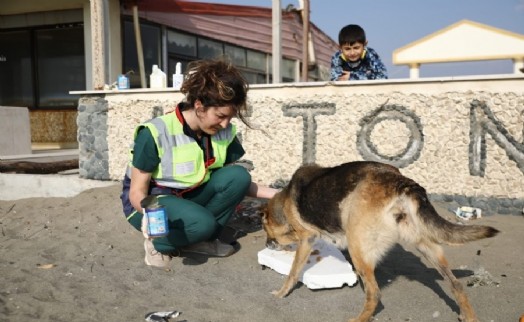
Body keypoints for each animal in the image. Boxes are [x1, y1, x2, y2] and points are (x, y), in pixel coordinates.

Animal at [262, 162, 500, 322]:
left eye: (265, 230)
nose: (268, 245)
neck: (285, 200)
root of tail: (402, 183)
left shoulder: (306, 238)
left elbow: (293, 272)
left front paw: (282, 293)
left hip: (357, 246)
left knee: (374, 293)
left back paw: (359, 319)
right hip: (426, 246)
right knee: (456, 284)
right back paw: (469, 316)